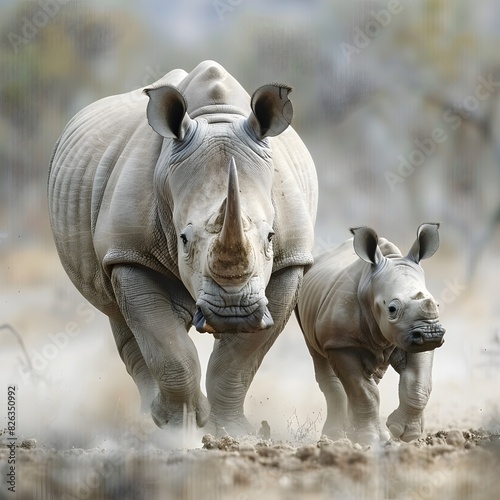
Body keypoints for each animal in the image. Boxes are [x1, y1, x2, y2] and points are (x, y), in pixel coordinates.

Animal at [48, 60, 318, 436]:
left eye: (270, 237)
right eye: (184, 240)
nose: (233, 312)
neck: (217, 117)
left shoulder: (290, 261)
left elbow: (240, 359)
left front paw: (233, 432)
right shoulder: (130, 254)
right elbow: (167, 348)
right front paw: (180, 427)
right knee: (123, 320)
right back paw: (147, 423)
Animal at [294, 225, 444, 444]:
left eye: (437, 304)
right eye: (392, 309)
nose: (431, 334)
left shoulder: (414, 337)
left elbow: (418, 382)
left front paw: (405, 433)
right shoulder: (341, 343)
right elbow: (363, 391)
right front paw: (369, 439)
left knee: (374, 373)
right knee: (320, 356)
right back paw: (335, 436)